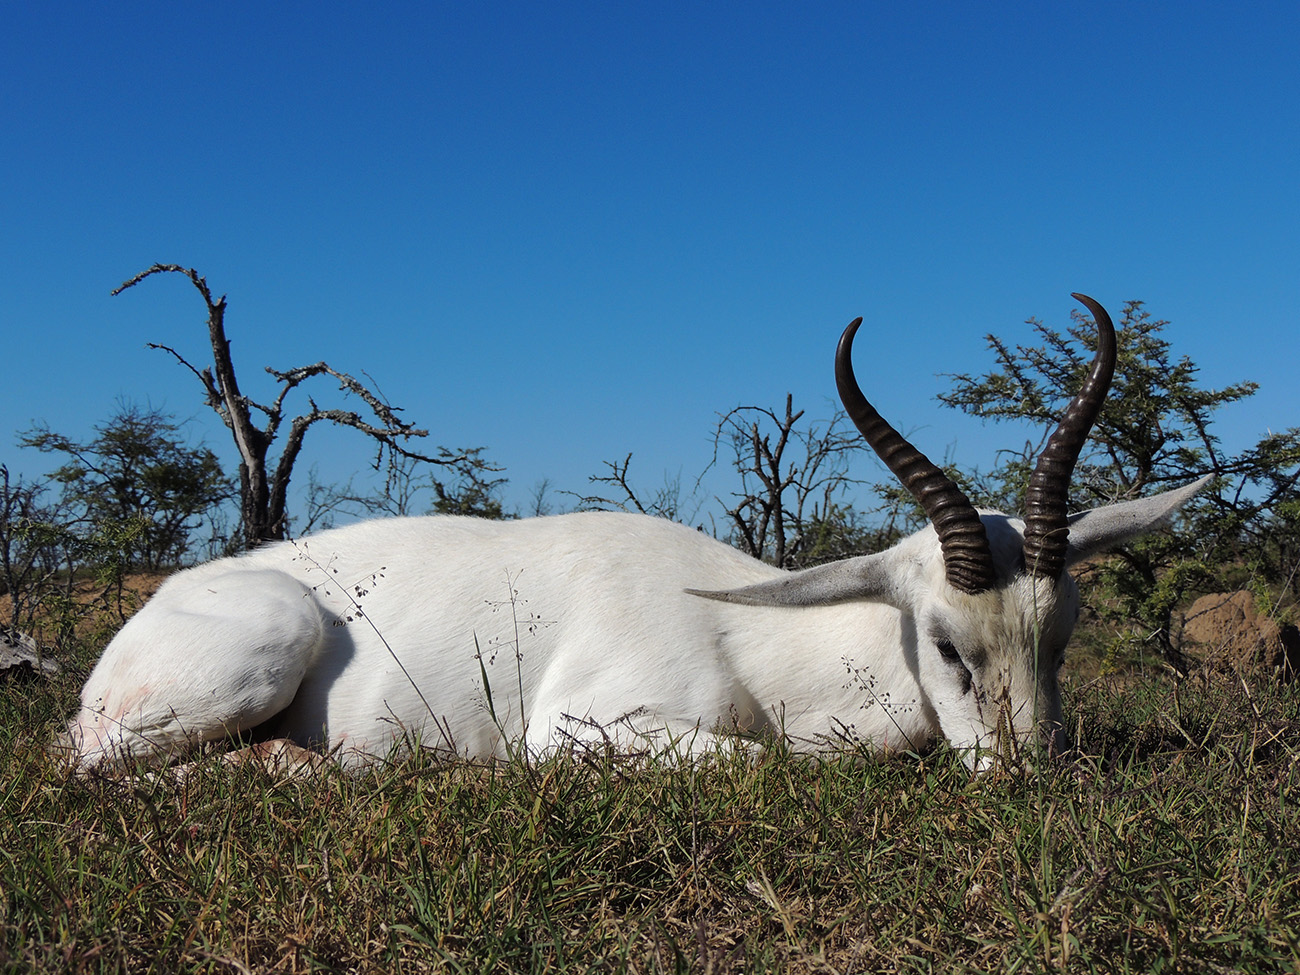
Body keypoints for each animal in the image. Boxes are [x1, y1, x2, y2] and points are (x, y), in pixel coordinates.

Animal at [58, 296, 1196, 769]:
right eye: (951, 647)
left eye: (1058, 640)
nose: (1033, 775)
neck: (751, 639)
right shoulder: (579, 727)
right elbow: (768, 765)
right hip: (265, 647)